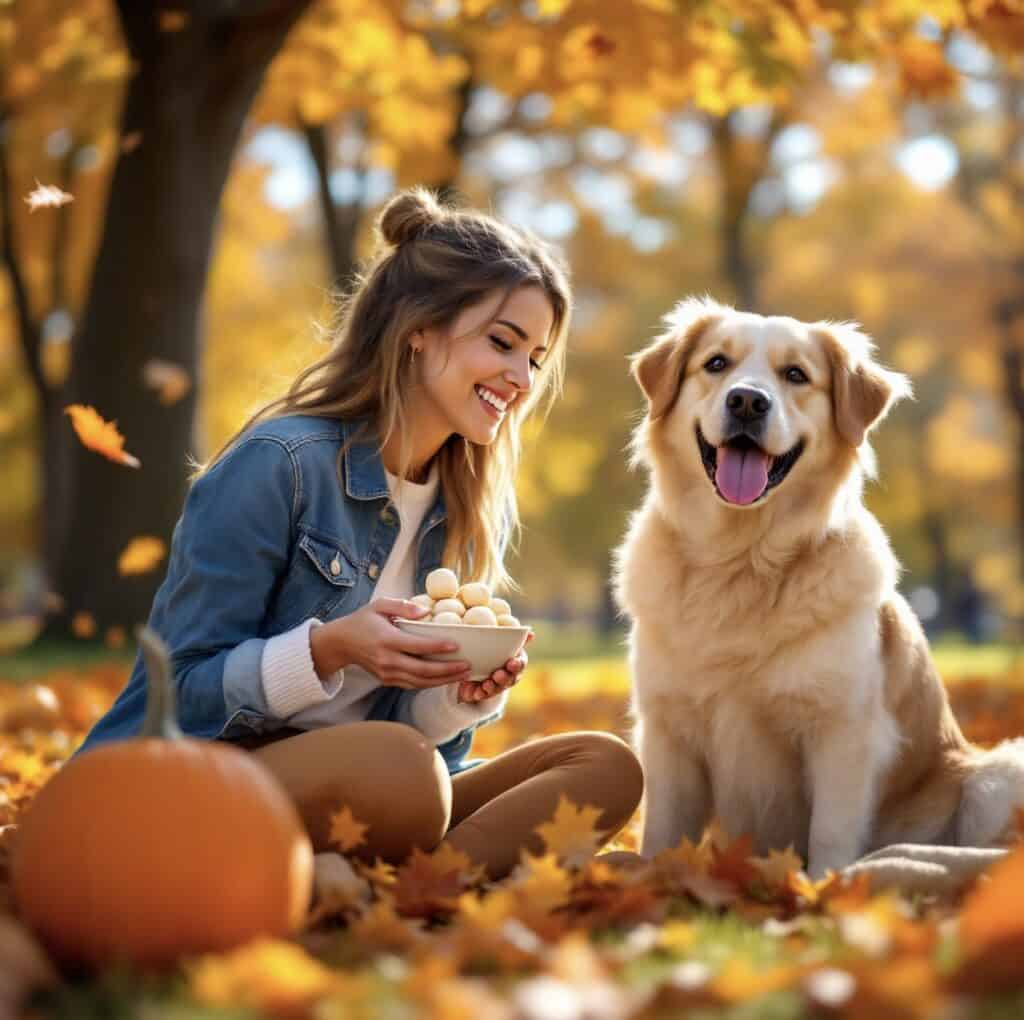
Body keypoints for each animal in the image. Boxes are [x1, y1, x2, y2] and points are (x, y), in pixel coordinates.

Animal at [610, 294, 1024, 876]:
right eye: (716, 363)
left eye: (795, 375)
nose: (746, 402)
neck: (741, 560)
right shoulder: (667, 731)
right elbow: (663, 834)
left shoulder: (843, 732)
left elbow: (830, 835)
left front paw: (826, 888)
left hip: (1000, 773)